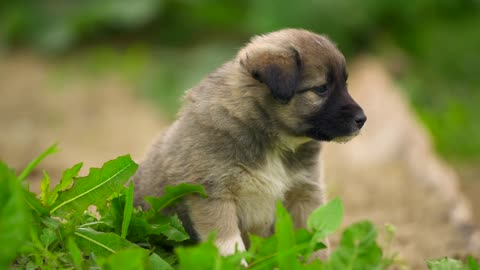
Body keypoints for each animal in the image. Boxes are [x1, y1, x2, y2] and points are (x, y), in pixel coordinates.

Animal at [133, 29, 366, 255]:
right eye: (321, 89)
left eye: (345, 84)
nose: (362, 119)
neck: (273, 140)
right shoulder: (213, 193)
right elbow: (228, 243)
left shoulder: (304, 193)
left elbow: (314, 241)